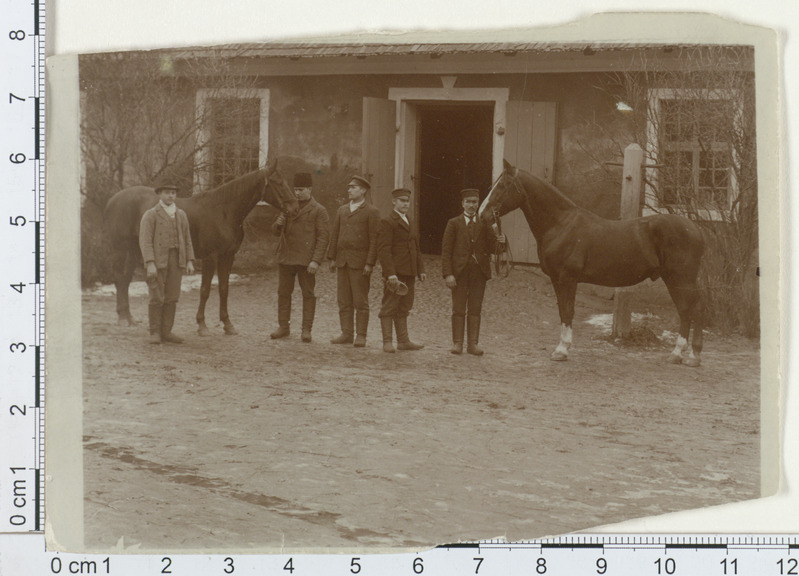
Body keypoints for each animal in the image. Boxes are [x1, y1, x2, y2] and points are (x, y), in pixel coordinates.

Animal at [103, 160, 296, 336]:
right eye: (278, 183)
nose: (294, 207)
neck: (224, 212)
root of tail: (113, 200)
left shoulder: (228, 256)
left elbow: (224, 289)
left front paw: (228, 324)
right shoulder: (211, 257)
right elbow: (205, 290)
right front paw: (202, 325)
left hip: (136, 250)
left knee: (125, 280)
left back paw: (129, 318)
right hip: (121, 250)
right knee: (119, 278)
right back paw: (123, 319)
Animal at [482, 160, 708, 366]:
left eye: (502, 186)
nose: (482, 214)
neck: (561, 224)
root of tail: (696, 229)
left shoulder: (568, 279)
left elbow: (567, 311)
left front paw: (561, 350)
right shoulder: (556, 279)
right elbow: (562, 311)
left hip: (681, 279)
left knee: (692, 310)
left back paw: (688, 355)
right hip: (675, 279)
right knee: (688, 310)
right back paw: (683, 355)